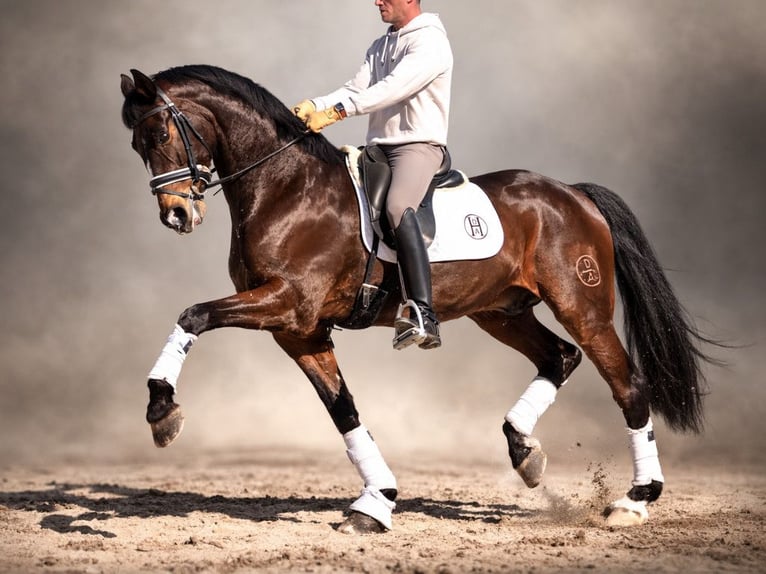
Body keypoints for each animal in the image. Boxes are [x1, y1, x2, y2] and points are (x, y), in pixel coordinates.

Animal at [120, 64, 714, 533]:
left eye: (159, 132)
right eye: (136, 144)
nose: (177, 214)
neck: (285, 188)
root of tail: (572, 194)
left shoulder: (288, 303)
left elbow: (194, 314)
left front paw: (161, 408)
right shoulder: (299, 330)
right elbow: (344, 412)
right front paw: (376, 503)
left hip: (582, 307)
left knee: (627, 385)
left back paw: (635, 501)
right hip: (499, 312)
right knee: (559, 358)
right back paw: (524, 452)